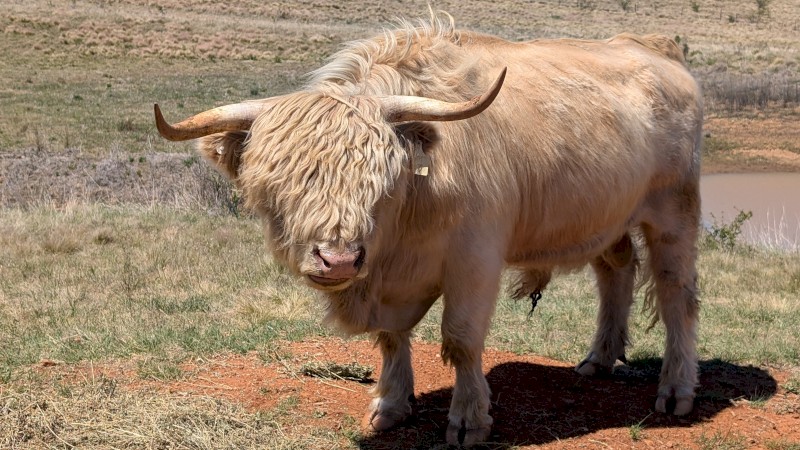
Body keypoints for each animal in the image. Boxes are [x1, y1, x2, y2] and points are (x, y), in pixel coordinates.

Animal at [154, 13, 702, 447]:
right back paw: (598, 359)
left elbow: (460, 339)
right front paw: (390, 407)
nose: (338, 259)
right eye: (277, 185)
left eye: (382, 181)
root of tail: (654, 46)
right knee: (616, 271)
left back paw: (675, 391)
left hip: (674, 213)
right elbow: (391, 337)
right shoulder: (387, 280)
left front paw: (468, 420)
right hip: (608, 217)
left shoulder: (475, 261)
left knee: (676, 295)